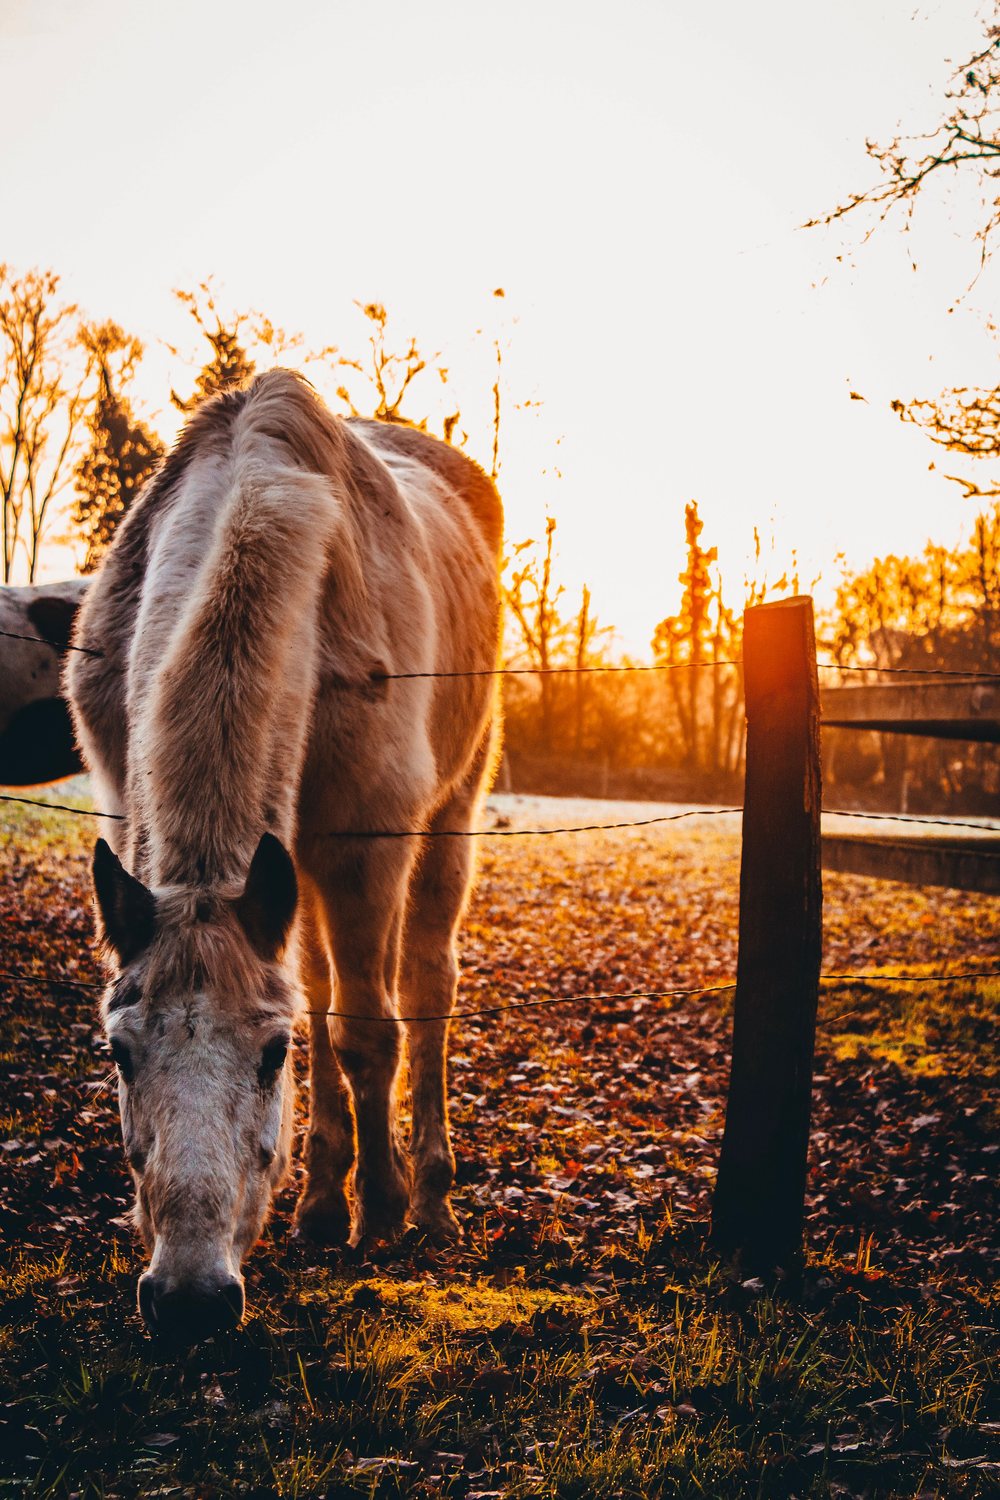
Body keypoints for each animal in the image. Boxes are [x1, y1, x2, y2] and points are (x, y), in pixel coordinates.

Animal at [66, 370, 502, 1343]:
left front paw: (380, 1211)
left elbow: (365, 1031)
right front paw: (329, 1205)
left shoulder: (365, 847)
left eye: (272, 1055)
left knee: (424, 987)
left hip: (450, 814)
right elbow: (328, 1018)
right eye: (119, 1052)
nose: (189, 1301)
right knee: (329, 983)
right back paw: (320, 1204)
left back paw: (428, 1199)